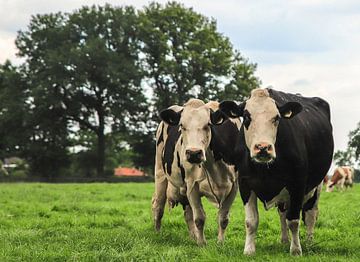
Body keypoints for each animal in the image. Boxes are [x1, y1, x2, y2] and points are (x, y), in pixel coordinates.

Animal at [150, 98, 240, 246]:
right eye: (182, 126)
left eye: (207, 124)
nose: (193, 153)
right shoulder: (192, 185)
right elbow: (199, 218)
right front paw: (202, 244)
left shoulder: (234, 186)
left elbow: (223, 218)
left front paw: (220, 243)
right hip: (160, 173)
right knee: (158, 205)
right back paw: (157, 233)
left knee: (187, 213)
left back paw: (193, 236)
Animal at [219, 88, 334, 256]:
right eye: (246, 117)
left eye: (277, 118)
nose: (262, 147)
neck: (264, 169)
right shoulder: (245, 183)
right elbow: (251, 221)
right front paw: (249, 250)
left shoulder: (297, 183)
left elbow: (294, 220)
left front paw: (296, 250)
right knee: (282, 213)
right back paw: (284, 240)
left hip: (316, 185)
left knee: (310, 214)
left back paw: (308, 242)